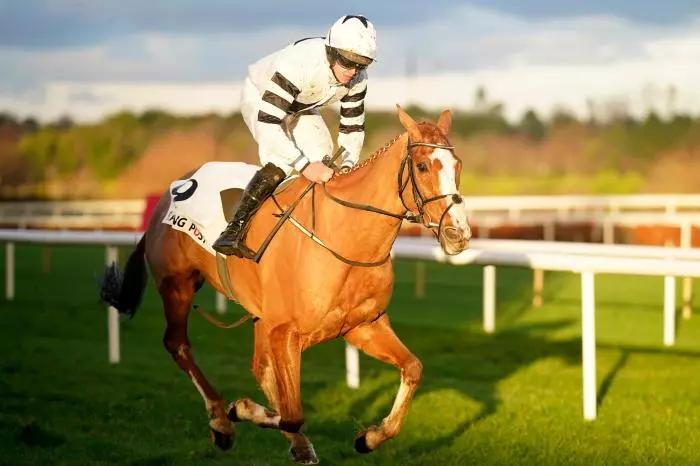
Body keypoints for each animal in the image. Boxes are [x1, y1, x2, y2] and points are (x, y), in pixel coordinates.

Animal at [101, 107, 474, 464]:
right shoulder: (287, 332)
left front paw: (369, 437)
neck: (346, 238)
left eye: (457, 165)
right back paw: (222, 420)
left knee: (260, 367)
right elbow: (293, 414)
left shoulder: (362, 326)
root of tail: (166, 198)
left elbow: (413, 368)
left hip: (260, 315)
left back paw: (296, 444)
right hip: (177, 286)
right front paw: (242, 409)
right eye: (422, 166)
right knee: (178, 345)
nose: (458, 234)